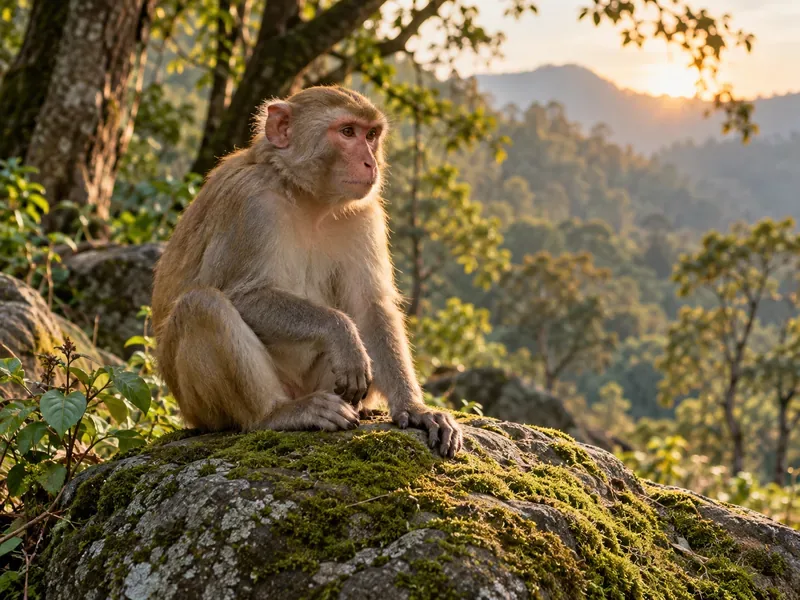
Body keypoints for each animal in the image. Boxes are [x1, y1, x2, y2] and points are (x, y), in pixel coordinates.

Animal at [151, 86, 463, 457]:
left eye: (371, 135)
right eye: (347, 132)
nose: (370, 162)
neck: (307, 198)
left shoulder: (364, 212)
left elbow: (369, 307)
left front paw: (415, 409)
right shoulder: (249, 204)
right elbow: (238, 293)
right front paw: (341, 332)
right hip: (198, 407)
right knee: (202, 305)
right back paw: (278, 413)